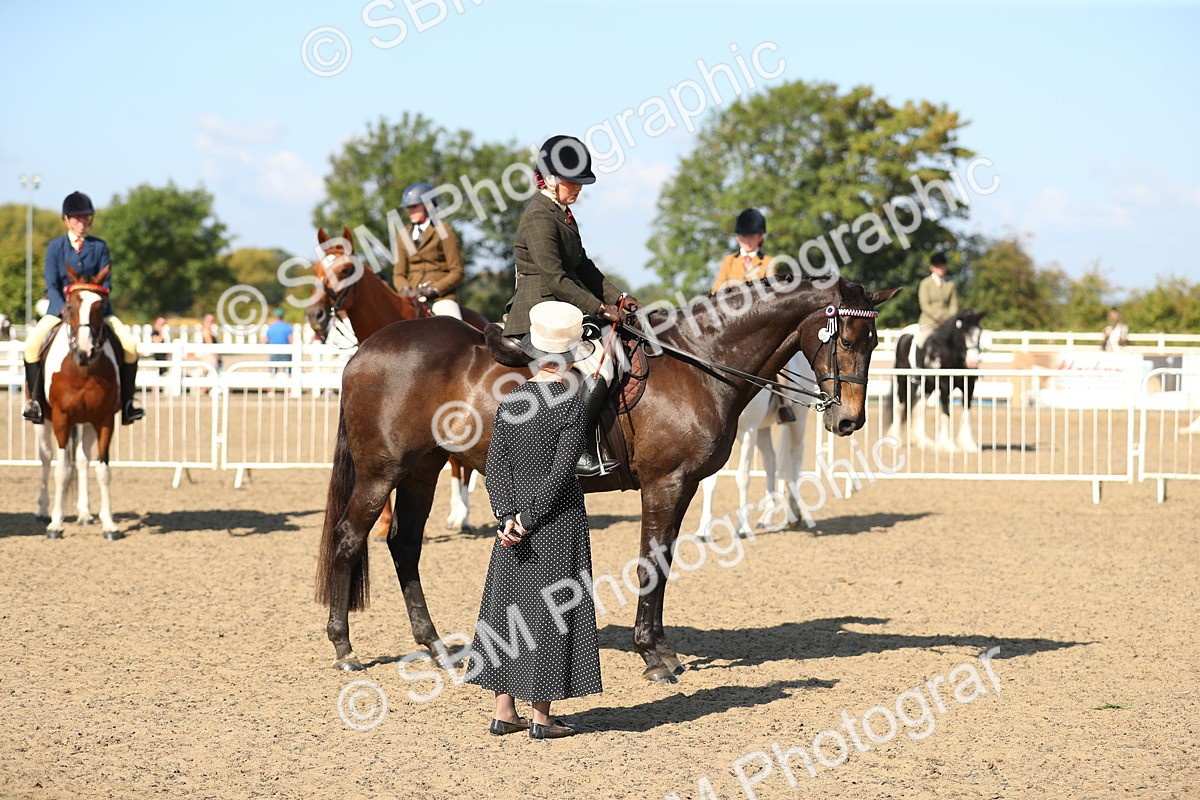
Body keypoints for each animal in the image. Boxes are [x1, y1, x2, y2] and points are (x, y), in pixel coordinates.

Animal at [36, 265, 124, 540]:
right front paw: (56, 524)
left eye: (101, 306)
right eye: (69, 306)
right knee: (45, 458)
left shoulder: (104, 419)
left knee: (83, 461)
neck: (82, 369)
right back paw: (43, 510)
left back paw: (85, 514)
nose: (86, 351)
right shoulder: (62, 418)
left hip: (85, 422)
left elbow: (103, 470)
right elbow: (62, 470)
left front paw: (109, 525)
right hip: (43, 421)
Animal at [305, 227, 488, 532]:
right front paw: (384, 524)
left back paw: (461, 515)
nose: (314, 315)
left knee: (461, 466)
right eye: (317, 269)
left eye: (345, 270)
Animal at [691, 351, 815, 539]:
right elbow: (709, 482)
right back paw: (767, 516)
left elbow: (743, 478)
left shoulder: (748, 432)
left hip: (798, 419)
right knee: (771, 461)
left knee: (796, 456)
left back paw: (794, 512)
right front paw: (704, 529)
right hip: (762, 430)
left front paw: (742, 528)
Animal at [885, 310, 987, 453]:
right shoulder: (944, 387)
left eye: (979, 333)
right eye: (962, 335)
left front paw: (968, 444)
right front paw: (947, 445)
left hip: (926, 387)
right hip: (902, 382)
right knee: (899, 407)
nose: (972, 362)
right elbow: (946, 412)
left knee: (919, 408)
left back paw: (923, 441)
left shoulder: (969, 386)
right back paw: (896, 439)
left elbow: (966, 414)